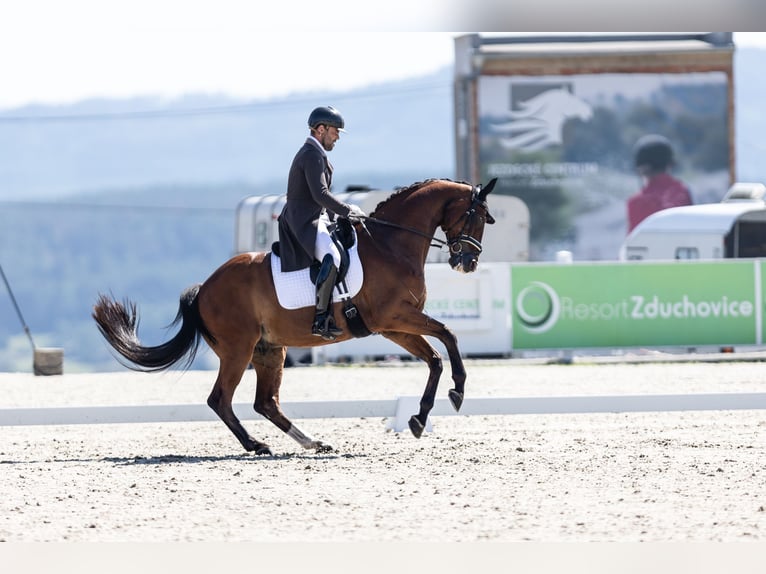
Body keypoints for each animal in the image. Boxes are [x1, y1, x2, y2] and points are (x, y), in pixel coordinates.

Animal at [91, 178, 498, 456]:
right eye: (477, 216)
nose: (468, 263)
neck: (390, 245)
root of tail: (204, 288)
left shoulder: (392, 326)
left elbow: (434, 357)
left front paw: (419, 418)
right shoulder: (395, 317)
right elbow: (449, 336)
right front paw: (457, 392)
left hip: (270, 350)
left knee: (265, 402)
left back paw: (313, 442)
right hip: (238, 350)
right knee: (221, 399)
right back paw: (256, 445)